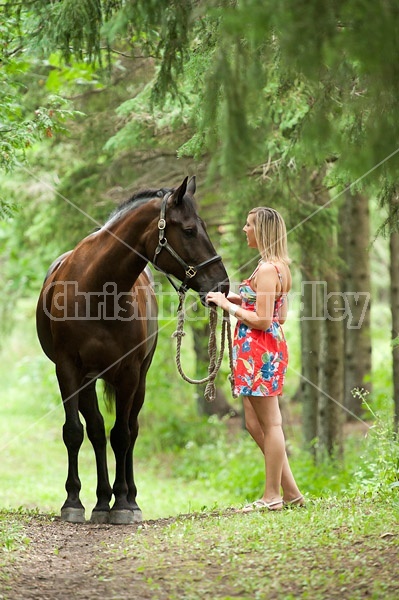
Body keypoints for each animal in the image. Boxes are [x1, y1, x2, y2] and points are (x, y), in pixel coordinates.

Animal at [36, 176, 230, 524]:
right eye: (190, 230)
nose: (222, 285)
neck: (98, 290)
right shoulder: (68, 370)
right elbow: (75, 432)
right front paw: (74, 501)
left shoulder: (128, 372)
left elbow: (123, 435)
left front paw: (124, 504)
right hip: (89, 380)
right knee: (97, 431)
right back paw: (101, 501)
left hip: (139, 380)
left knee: (130, 430)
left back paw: (127, 498)